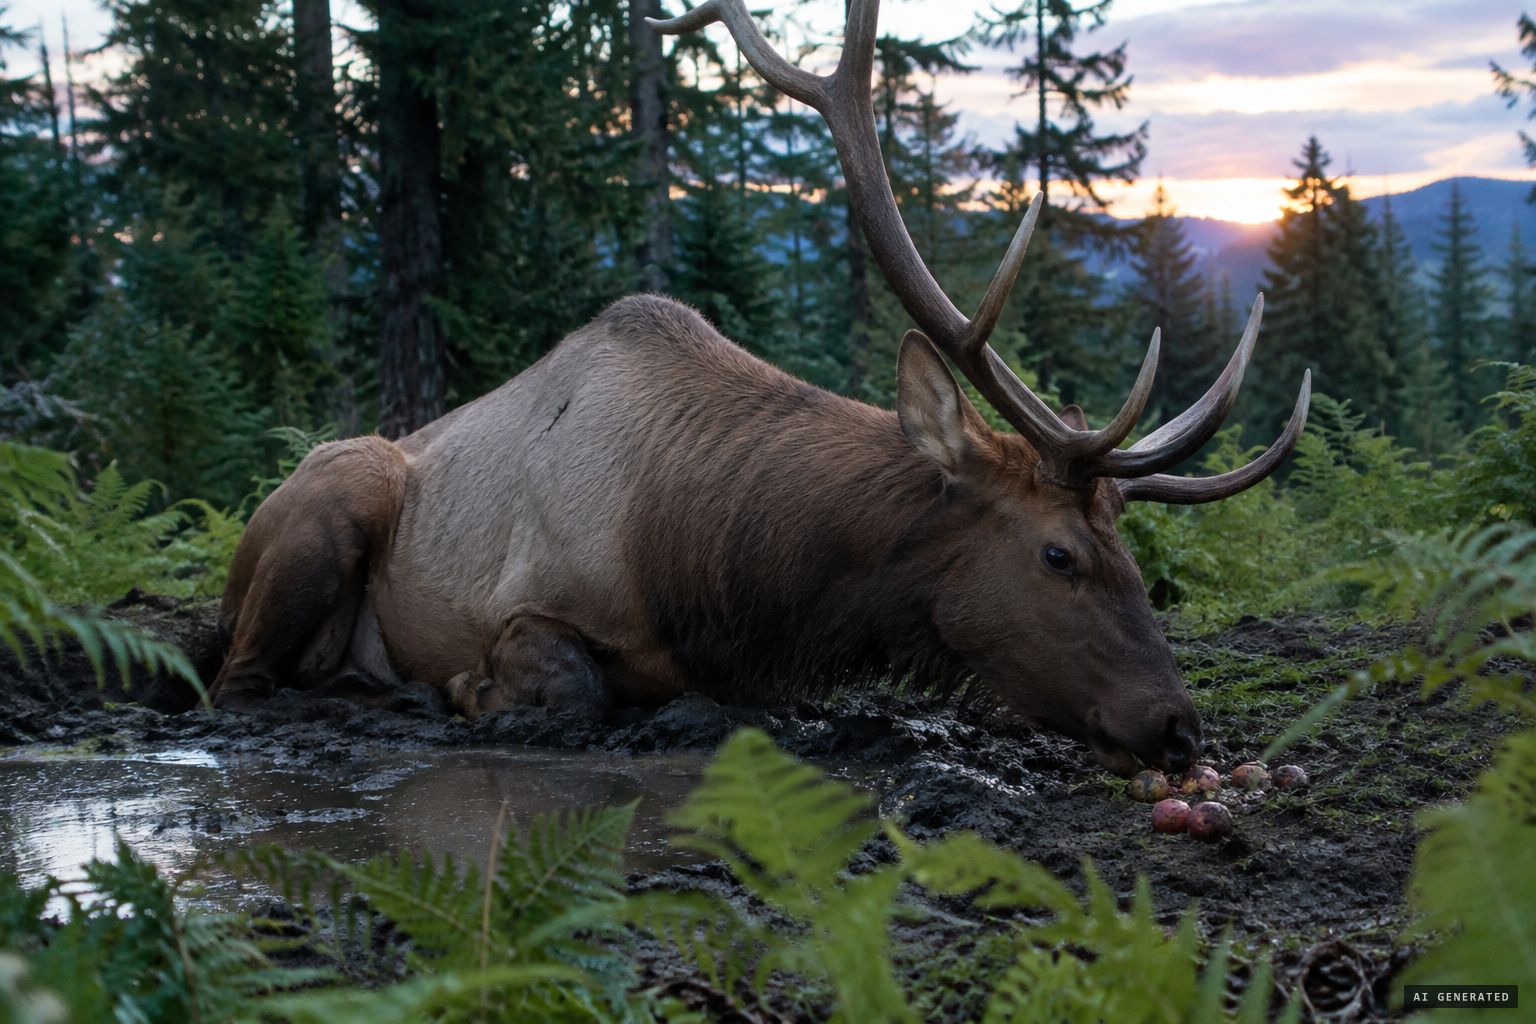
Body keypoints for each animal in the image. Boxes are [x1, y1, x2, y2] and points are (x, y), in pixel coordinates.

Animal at [206, 0, 1310, 777]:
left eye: (1127, 552)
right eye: (1058, 554)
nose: (1177, 725)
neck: (716, 580)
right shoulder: (521, 602)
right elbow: (569, 685)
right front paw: (472, 691)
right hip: (331, 499)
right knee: (238, 681)